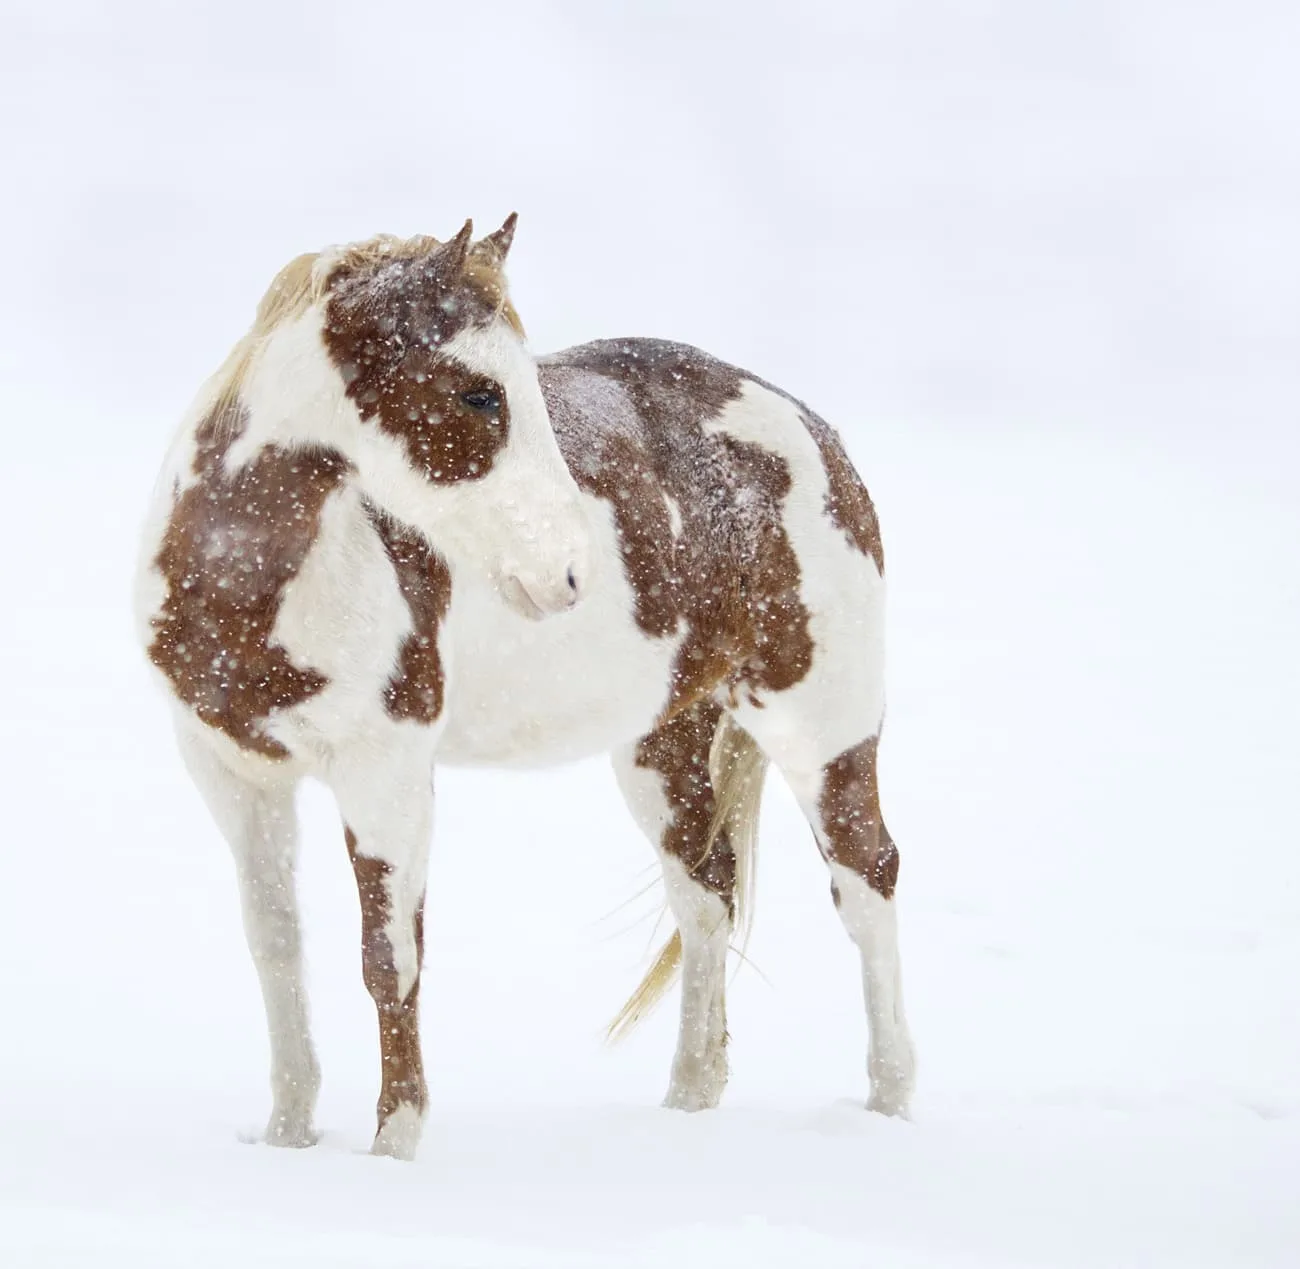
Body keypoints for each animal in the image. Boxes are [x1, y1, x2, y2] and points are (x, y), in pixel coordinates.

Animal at [134, 218, 915, 1159]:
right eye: (478, 395)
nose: (568, 575)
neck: (249, 576)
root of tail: (805, 424)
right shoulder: (232, 773)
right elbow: (277, 946)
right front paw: (289, 1138)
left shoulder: (384, 774)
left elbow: (390, 958)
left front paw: (395, 1145)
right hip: (663, 744)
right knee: (705, 893)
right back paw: (690, 1100)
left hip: (821, 725)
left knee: (866, 881)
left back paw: (890, 1105)